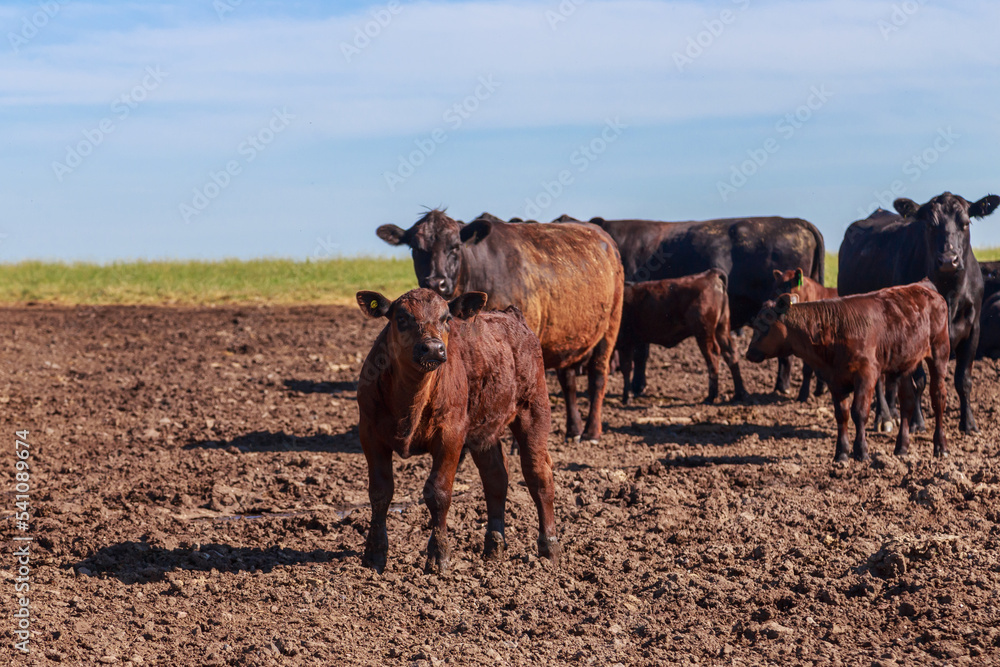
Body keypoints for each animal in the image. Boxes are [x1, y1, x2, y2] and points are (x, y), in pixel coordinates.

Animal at [355, 288, 560, 574]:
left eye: (447, 318)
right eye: (402, 318)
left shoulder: (450, 436)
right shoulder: (370, 434)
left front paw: (439, 555)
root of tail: (511, 315)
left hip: (534, 411)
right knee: (496, 477)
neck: (410, 400)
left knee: (538, 476)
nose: (432, 347)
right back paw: (494, 547)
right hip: (484, 430)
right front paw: (374, 554)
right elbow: (380, 492)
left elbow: (438, 492)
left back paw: (549, 548)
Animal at [377, 209, 624, 443]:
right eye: (416, 248)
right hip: (567, 337)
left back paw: (592, 431)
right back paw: (574, 430)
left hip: (610, 328)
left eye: (455, 247)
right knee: (568, 381)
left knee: (598, 377)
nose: (436, 282)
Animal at [617, 269, 747, 405]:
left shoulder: (624, 343)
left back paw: (711, 396)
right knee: (730, 353)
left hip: (704, 333)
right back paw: (739, 394)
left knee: (713, 356)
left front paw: (626, 397)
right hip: (721, 328)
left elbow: (626, 368)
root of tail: (710, 274)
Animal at [745, 282, 950, 463]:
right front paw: (841, 453)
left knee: (938, 398)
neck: (834, 330)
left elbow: (859, 412)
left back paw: (941, 447)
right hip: (905, 363)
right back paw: (901, 448)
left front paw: (861, 452)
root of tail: (929, 291)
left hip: (939, 353)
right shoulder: (834, 380)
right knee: (907, 402)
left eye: (765, 323)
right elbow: (841, 415)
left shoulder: (867, 374)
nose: (748, 353)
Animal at [839, 193, 1000, 434]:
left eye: (965, 223)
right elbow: (919, 381)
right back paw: (884, 416)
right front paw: (917, 422)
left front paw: (969, 423)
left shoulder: (973, 329)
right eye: (930, 225)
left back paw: (894, 413)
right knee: (877, 379)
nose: (948, 260)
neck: (948, 292)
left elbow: (964, 379)